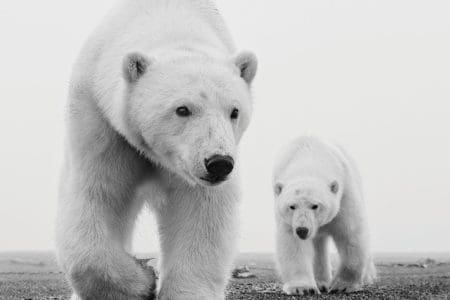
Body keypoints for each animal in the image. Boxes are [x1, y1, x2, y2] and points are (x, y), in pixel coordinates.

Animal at [57, 1, 256, 298]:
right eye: (182, 109)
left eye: (234, 111)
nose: (219, 162)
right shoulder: (102, 123)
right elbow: (97, 193)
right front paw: (143, 281)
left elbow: (202, 212)